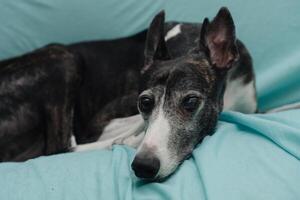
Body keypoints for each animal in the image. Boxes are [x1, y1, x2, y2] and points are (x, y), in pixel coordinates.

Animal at [0, 7, 255, 180]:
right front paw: (132, 139)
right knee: (59, 147)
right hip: (63, 58)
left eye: (191, 101)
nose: (144, 166)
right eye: (144, 102)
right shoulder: (98, 125)